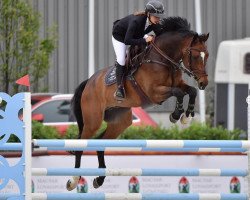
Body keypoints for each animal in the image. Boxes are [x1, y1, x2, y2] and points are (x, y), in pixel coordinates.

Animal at [66, 16, 209, 190]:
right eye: (195, 56)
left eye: (207, 55)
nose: (203, 83)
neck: (164, 59)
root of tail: (88, 82)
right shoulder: (155, 93)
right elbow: (179, 93)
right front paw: (176, 115)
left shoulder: (178, 84)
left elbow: (191, 91)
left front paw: (186, 116)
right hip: (93, 120)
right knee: (81, 144)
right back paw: (74, 180)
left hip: (120, 121)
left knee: (100, 142)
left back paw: (99, 179)